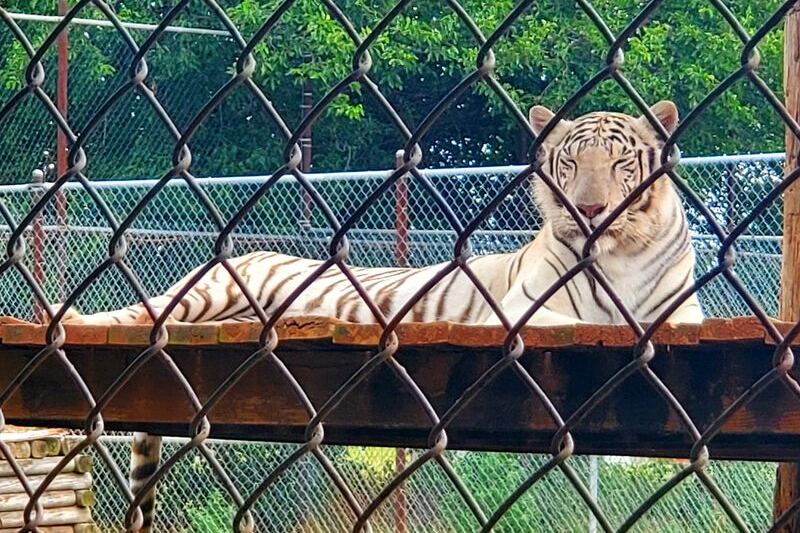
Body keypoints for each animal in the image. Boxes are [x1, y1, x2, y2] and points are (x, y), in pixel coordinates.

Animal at [53, 100, 703, 532]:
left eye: (619, 165)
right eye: (570, 166)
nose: (589, 210)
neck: (617, 254)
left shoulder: (687, 314)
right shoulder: (518, 310)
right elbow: (574, 322)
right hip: (201, 292)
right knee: (138, 313)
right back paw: (70, 320)